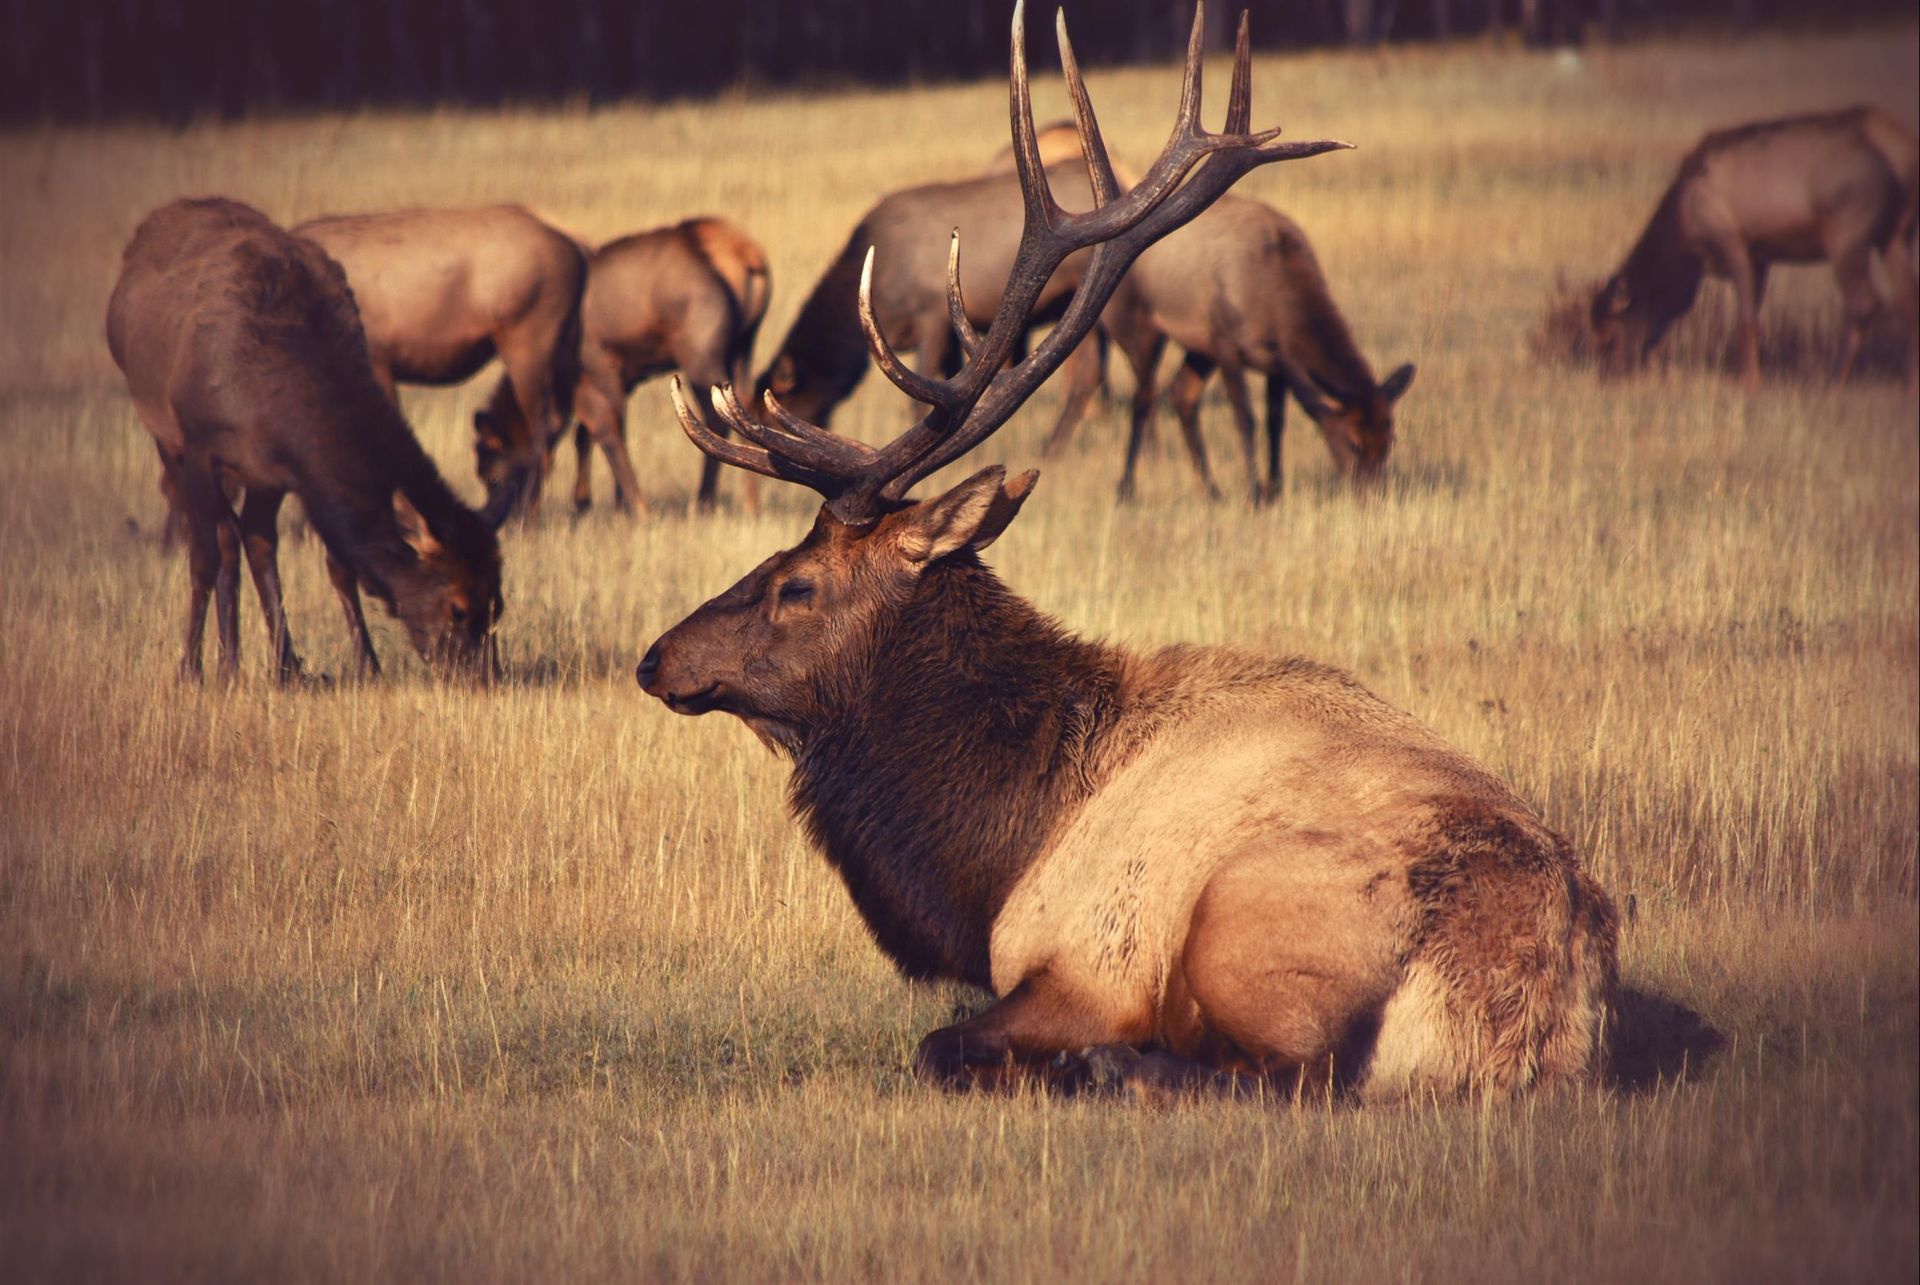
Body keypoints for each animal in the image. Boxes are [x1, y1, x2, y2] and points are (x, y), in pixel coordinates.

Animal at [107, 198, 503, 684]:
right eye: (458, 608)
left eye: (499, 603)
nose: (486, 676)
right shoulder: (199, 447)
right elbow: (202, 558)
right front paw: (188, 668)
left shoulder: (286, 470)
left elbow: (337, 564)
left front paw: (366, 664)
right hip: (164, 435)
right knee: (223, 538)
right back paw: (226, 663)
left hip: (256, 477)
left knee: (250, 539)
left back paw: (270, 664)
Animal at [473, 217, 771, 516]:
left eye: (494, 476)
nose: (512, 516)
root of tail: (746, 256)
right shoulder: (622, 377)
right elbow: (584, 434)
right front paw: (585, 502)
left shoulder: (600, 368)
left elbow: (606, 428)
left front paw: (627, 506)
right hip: (743, 347)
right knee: (745, 404)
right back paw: (750, 503)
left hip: (699, 354)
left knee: (713, 416)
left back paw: (704, 501)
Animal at [637, 2, 1618, 1103]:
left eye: (795, 583)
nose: (656, 657)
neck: (992, 850)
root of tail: (1533, 1020)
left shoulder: (1081, 961)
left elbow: (941, 1042)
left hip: (1248, 918)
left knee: (1273, 1074)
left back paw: (1104, 1068)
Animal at [1590, 106, 1919, 390]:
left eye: (1610, 337)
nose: (1608, 378)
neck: (1682, 236)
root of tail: (1902, 155)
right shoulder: (1762, 257)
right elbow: (1755, 313)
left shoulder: (1733, 243)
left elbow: (1745, 316)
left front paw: (1748, 380)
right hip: (1896, 236)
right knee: (1907, 300)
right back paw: (1910, 384)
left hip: (1847, 233)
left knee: (1864, 302)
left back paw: (1833, 381)